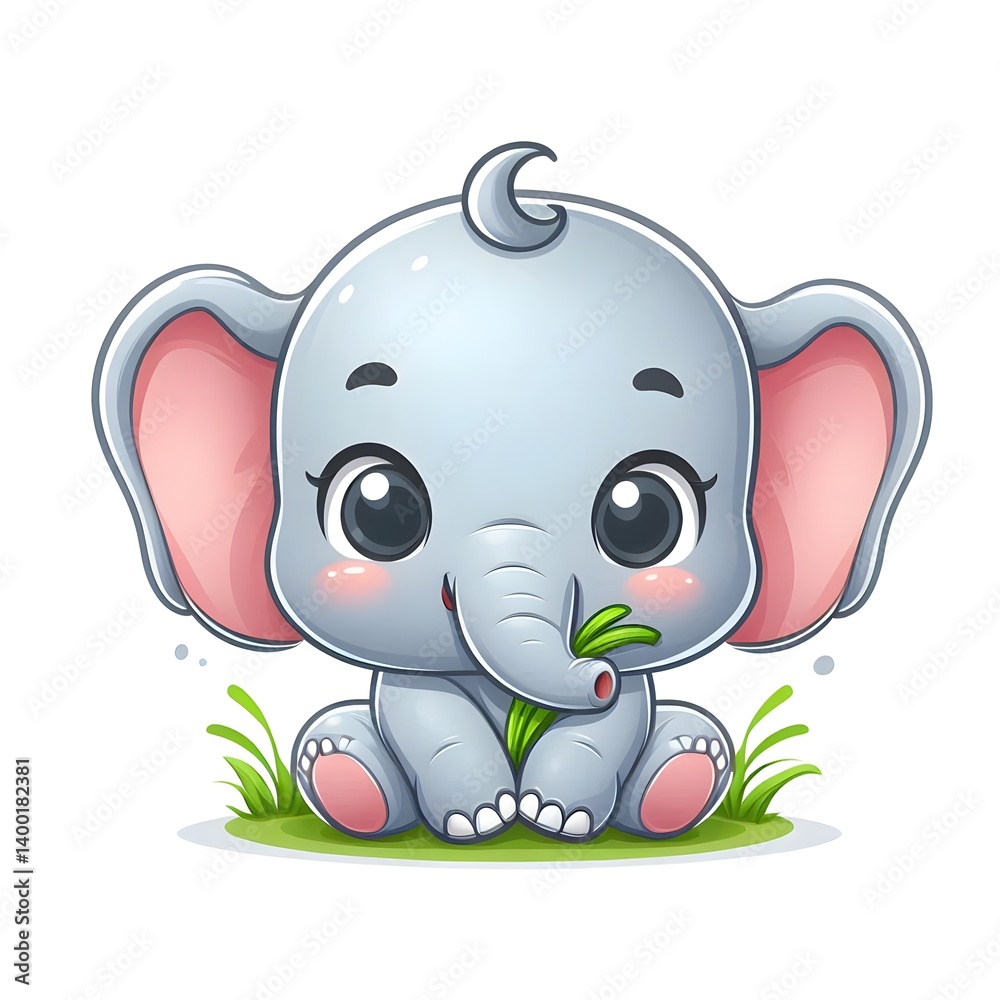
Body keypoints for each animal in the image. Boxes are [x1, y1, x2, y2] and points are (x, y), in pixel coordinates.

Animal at [93, 141, 931, 844]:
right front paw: (481, 817)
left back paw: (682, 782)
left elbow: (618, 718)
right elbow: (422, 709)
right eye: (376, 508)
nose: (595, 670)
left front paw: (557, 815)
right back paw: (346, 782)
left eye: (645, 517)